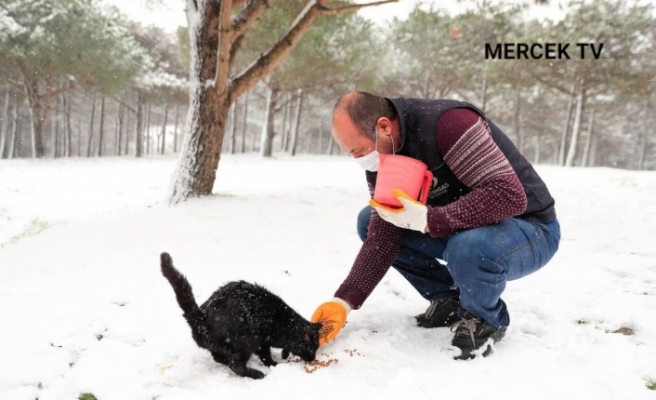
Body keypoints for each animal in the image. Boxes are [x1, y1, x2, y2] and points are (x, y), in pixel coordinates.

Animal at [160, 252, 322, 380]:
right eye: (312, 347)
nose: (313, 358)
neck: (285, 324)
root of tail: (201, 320)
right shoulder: (262, 340)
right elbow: (266, 356)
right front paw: (274, 365)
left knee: (219, 358)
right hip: (245, 342)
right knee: (235, 366)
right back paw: (257, 374)